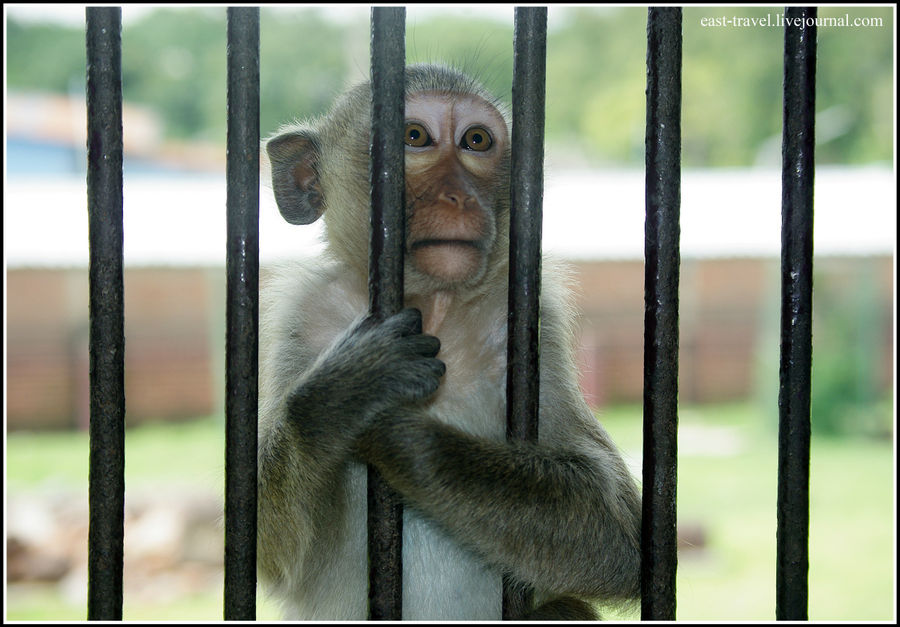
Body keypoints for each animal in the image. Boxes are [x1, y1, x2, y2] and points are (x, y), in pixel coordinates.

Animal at [256, 63, 644, 624]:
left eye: (476, 141)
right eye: (415, 136)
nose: (459, 196)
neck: (432, 305)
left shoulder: (532, 322)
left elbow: (619, 532)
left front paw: (398, 433)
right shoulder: (300, 319)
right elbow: (270, 551)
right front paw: (338, 397)